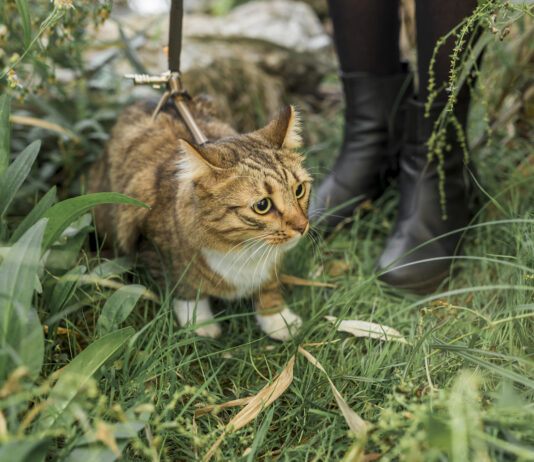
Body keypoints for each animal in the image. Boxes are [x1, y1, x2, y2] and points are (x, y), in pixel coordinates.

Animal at [88, 95, 311, 341]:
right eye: (263, 205)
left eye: (299, 190)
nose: (302, 226)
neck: (244, 249)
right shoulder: (155, 247)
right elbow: (185, 287)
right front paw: (199, 322)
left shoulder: (270, 267)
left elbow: (269, 287)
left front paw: (278, 319)